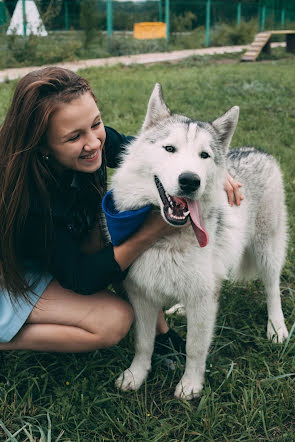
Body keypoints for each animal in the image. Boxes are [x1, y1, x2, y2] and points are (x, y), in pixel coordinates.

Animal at [112, 83, 290, 400]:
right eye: (169, 149)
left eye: (204, 155)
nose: (190, 180)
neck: (166, 238)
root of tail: (257, 150)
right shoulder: (141, 295)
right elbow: (143, 343)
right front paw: (135, 375)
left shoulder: (203, 298)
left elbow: (194, 347)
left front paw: (190, 385)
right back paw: (180, 309)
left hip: (267, 251)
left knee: (272, 290)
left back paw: (276, 328)